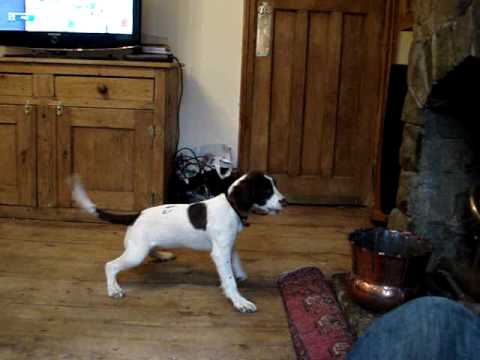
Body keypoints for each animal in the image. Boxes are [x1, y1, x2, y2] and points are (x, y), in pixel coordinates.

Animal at [71, 171, 286, 312]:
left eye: (275, 185)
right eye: (266, 190)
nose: (284, 201)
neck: (231, 206)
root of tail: (137, 215)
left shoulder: (227, 244)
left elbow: (236, 257)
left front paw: (240, 273)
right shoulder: (219, 251)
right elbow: (229, 279)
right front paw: (239, 300)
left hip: (142, 247)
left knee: (148, 250)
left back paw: (162, 254)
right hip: (136, 254)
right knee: (111, 265)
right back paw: (113, 289)